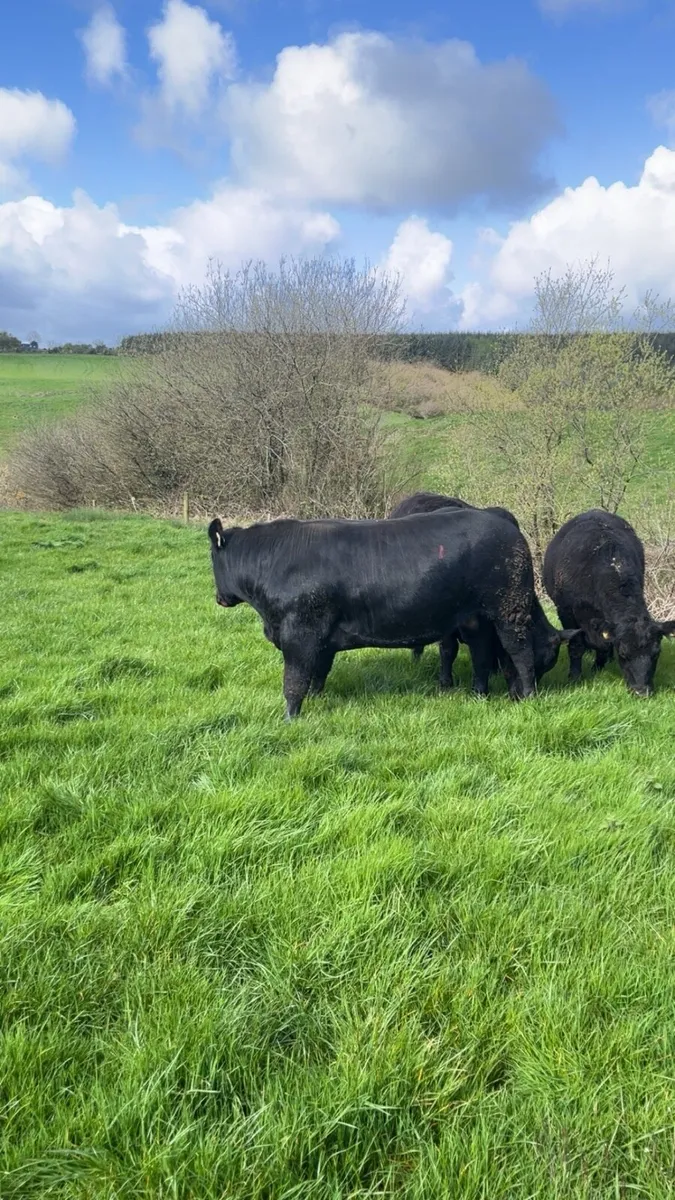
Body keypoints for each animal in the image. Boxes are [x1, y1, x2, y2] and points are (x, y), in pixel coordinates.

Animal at [208, 509, 547, 719]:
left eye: (212, 559)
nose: (220, 599)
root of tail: (505, 525)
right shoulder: (320, 639)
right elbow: (318, 674)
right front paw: (318, 699)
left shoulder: (299, 633)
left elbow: (294, 681)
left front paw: (290, 718)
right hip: (474, 618)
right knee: (481, 654)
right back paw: (479, 694)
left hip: (509, 610)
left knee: (520, 652)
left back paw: (529, 695)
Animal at [543, 509, 675, 696]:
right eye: (624, 654)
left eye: (656, 654)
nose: (642, 692)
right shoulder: (566, 611)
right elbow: (576, 646)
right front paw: (575, 676)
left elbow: (604, 646)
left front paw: (598, 667)